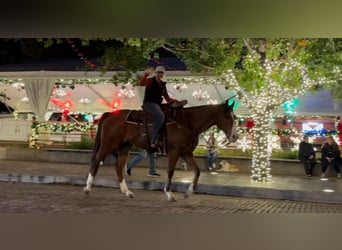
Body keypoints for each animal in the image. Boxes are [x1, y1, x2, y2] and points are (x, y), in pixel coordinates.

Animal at [83, 97, 238, 201]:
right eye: (226, 115)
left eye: (235, 116)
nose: (235, 136)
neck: (188, 122)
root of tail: (109, 114)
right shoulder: (174, 151)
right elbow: (170, 171)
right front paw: (169, 193)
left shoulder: (186, 153)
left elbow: (197, 171)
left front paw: (188, 193)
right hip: (108, 145)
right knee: (96, 161)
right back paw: (87, 188)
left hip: (124, 146)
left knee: (119, 166)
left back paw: (127, 192)